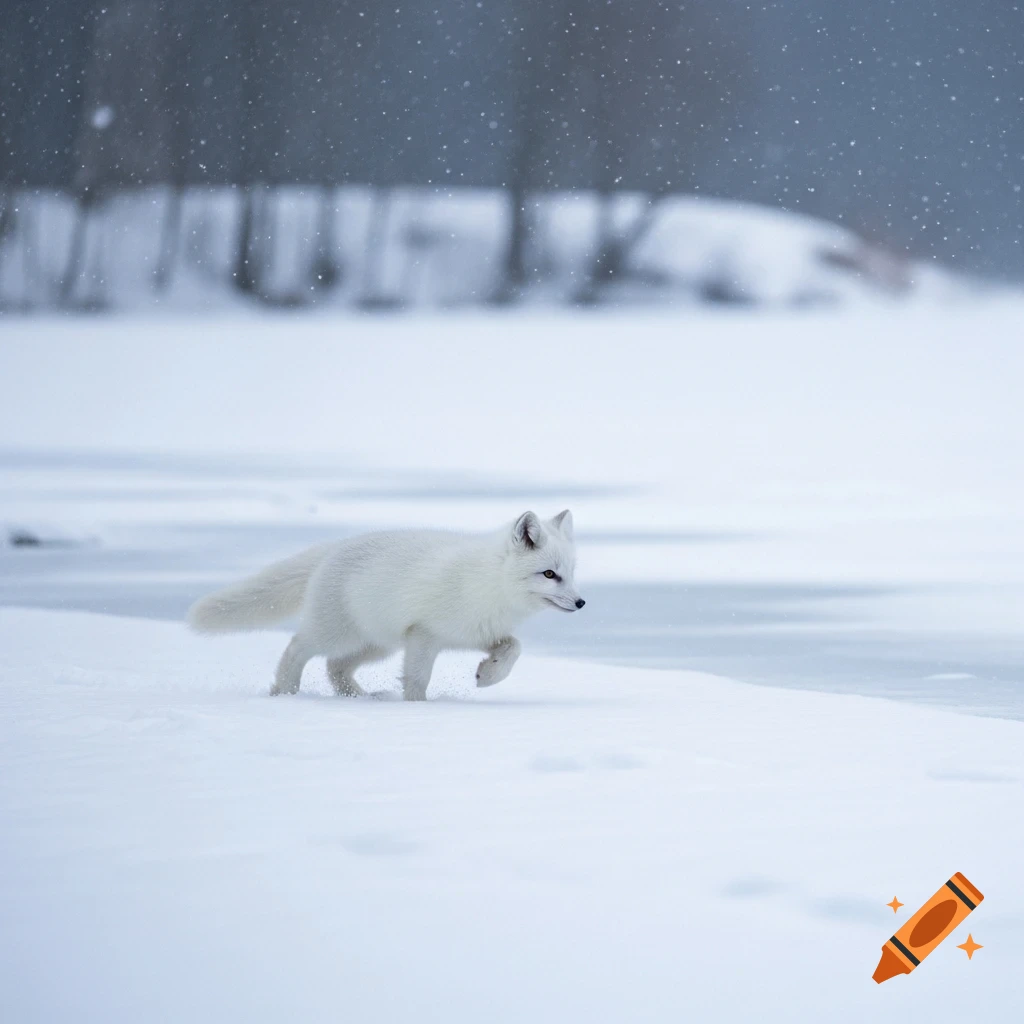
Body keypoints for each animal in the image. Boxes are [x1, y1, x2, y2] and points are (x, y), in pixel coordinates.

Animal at [186, 510, 584, 700]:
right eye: (549, 574)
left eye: (570, 573)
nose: (581, 602)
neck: (489, 584)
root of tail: (333, 547)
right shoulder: (423, 635)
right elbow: (417, 680)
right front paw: (416, 708)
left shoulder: (478, 634)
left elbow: (514, 648)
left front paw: (488, 674)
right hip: (338, 634)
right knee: (298, 647)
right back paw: (285, 691)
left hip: (377, 644)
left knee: (335, 668)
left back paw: (362, 698)